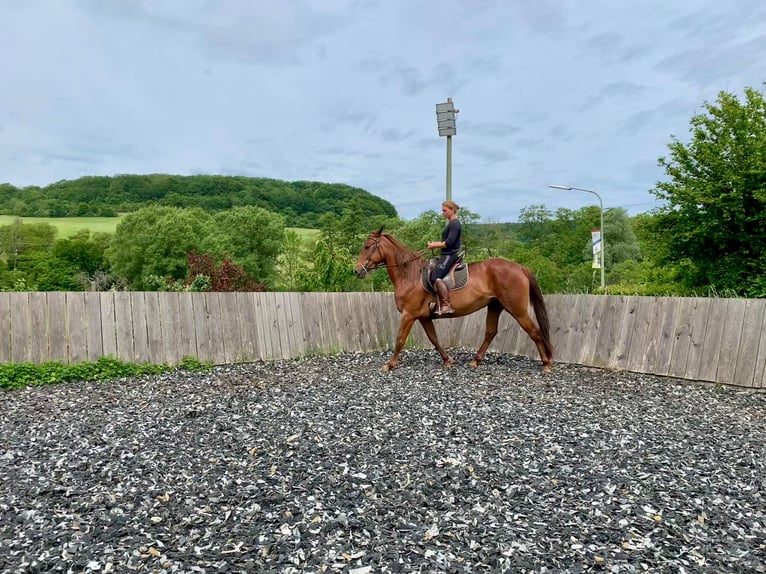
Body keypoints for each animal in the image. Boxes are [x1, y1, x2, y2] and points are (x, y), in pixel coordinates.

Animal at [356, 228, 556, 374]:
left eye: (367, 246)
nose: (357, 271)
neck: (410, 276)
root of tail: (520, 268)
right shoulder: (424, 317)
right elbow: (434, 339)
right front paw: (448, 361)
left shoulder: (409, 315)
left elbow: (399, 339)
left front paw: (389, 364)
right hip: (494, 306)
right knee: (490, 332)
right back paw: (475, 361)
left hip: (517, 310)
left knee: (534, 332)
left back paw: (546, 364)